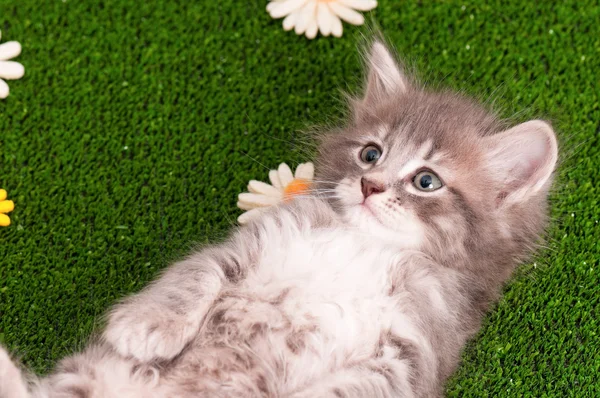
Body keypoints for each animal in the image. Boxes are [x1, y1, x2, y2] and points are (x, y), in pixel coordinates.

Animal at [0, 41, 556, 398]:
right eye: (371, 154)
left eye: (426, 181)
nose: (370, 186)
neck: (365, 247)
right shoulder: (249, 244)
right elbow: (193, 275)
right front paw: (146, 325)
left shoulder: (415, 349)